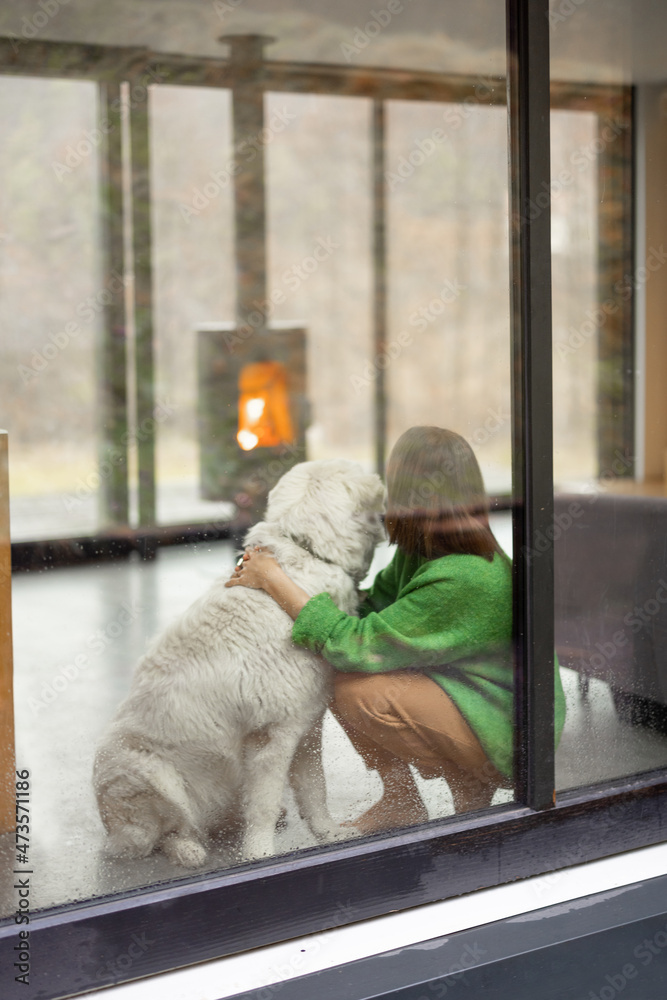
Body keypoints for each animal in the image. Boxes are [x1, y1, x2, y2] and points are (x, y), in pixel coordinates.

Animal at [94, 460, 386, 868]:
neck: (307, 554)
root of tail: (111, 831)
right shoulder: (270, 740)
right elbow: (263, 806)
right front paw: (259, 855)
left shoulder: (306, 731)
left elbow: (315, 792)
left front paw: (329, 834)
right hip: (146, 773)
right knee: (161, 835)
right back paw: (188, 849)